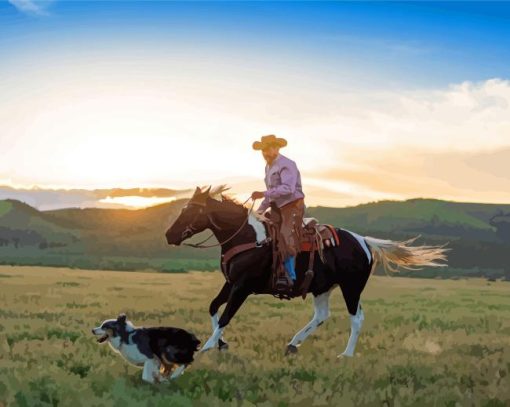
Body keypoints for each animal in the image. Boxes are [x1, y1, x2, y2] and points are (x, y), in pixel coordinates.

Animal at [165, 185, 448, 360]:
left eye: (191, 210)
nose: (169, 235)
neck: (247, 237)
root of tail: (364, 241)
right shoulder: (230, 283)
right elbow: (214, 307)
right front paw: (220, 344)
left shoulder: (243, 287)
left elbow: (225, 316)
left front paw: (209, 346)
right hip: (322, 288)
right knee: (321, 315)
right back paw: (293, 344)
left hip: (351, 287)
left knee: (356, 318)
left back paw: (346, 354)